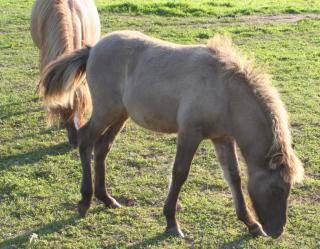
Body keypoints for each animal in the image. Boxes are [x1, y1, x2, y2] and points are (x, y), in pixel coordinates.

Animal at [36, 30, 304, 237]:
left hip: (120, 115)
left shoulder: (222, 138)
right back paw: (84, 201)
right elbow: (179, 174)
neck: (224, 91)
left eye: (289, 189)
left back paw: (106, 198)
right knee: (85, 140)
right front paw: (171, 223)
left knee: (102, 147)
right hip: (105, 111)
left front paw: (250, 224)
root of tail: (92, 49)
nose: (277, 231)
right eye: (278, 189)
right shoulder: (190, 133)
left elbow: (234, 177)